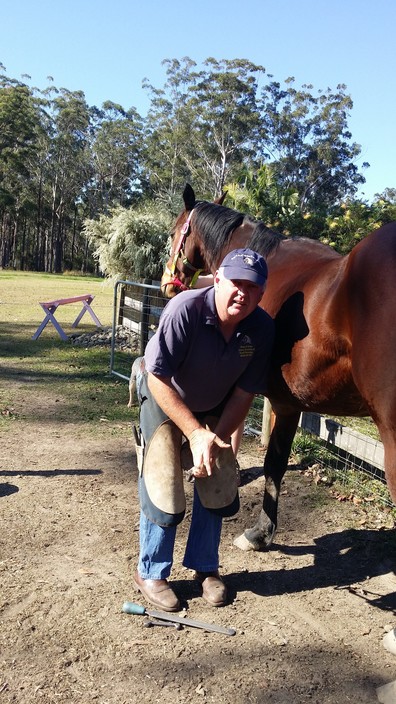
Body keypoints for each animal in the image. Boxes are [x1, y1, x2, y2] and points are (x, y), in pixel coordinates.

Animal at [161, 184, 396, 552]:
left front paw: (257, 532)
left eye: (174, 232)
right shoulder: (291, 404)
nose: (168, 283)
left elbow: (268, 461)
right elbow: (278, 461)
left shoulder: (272, 398)